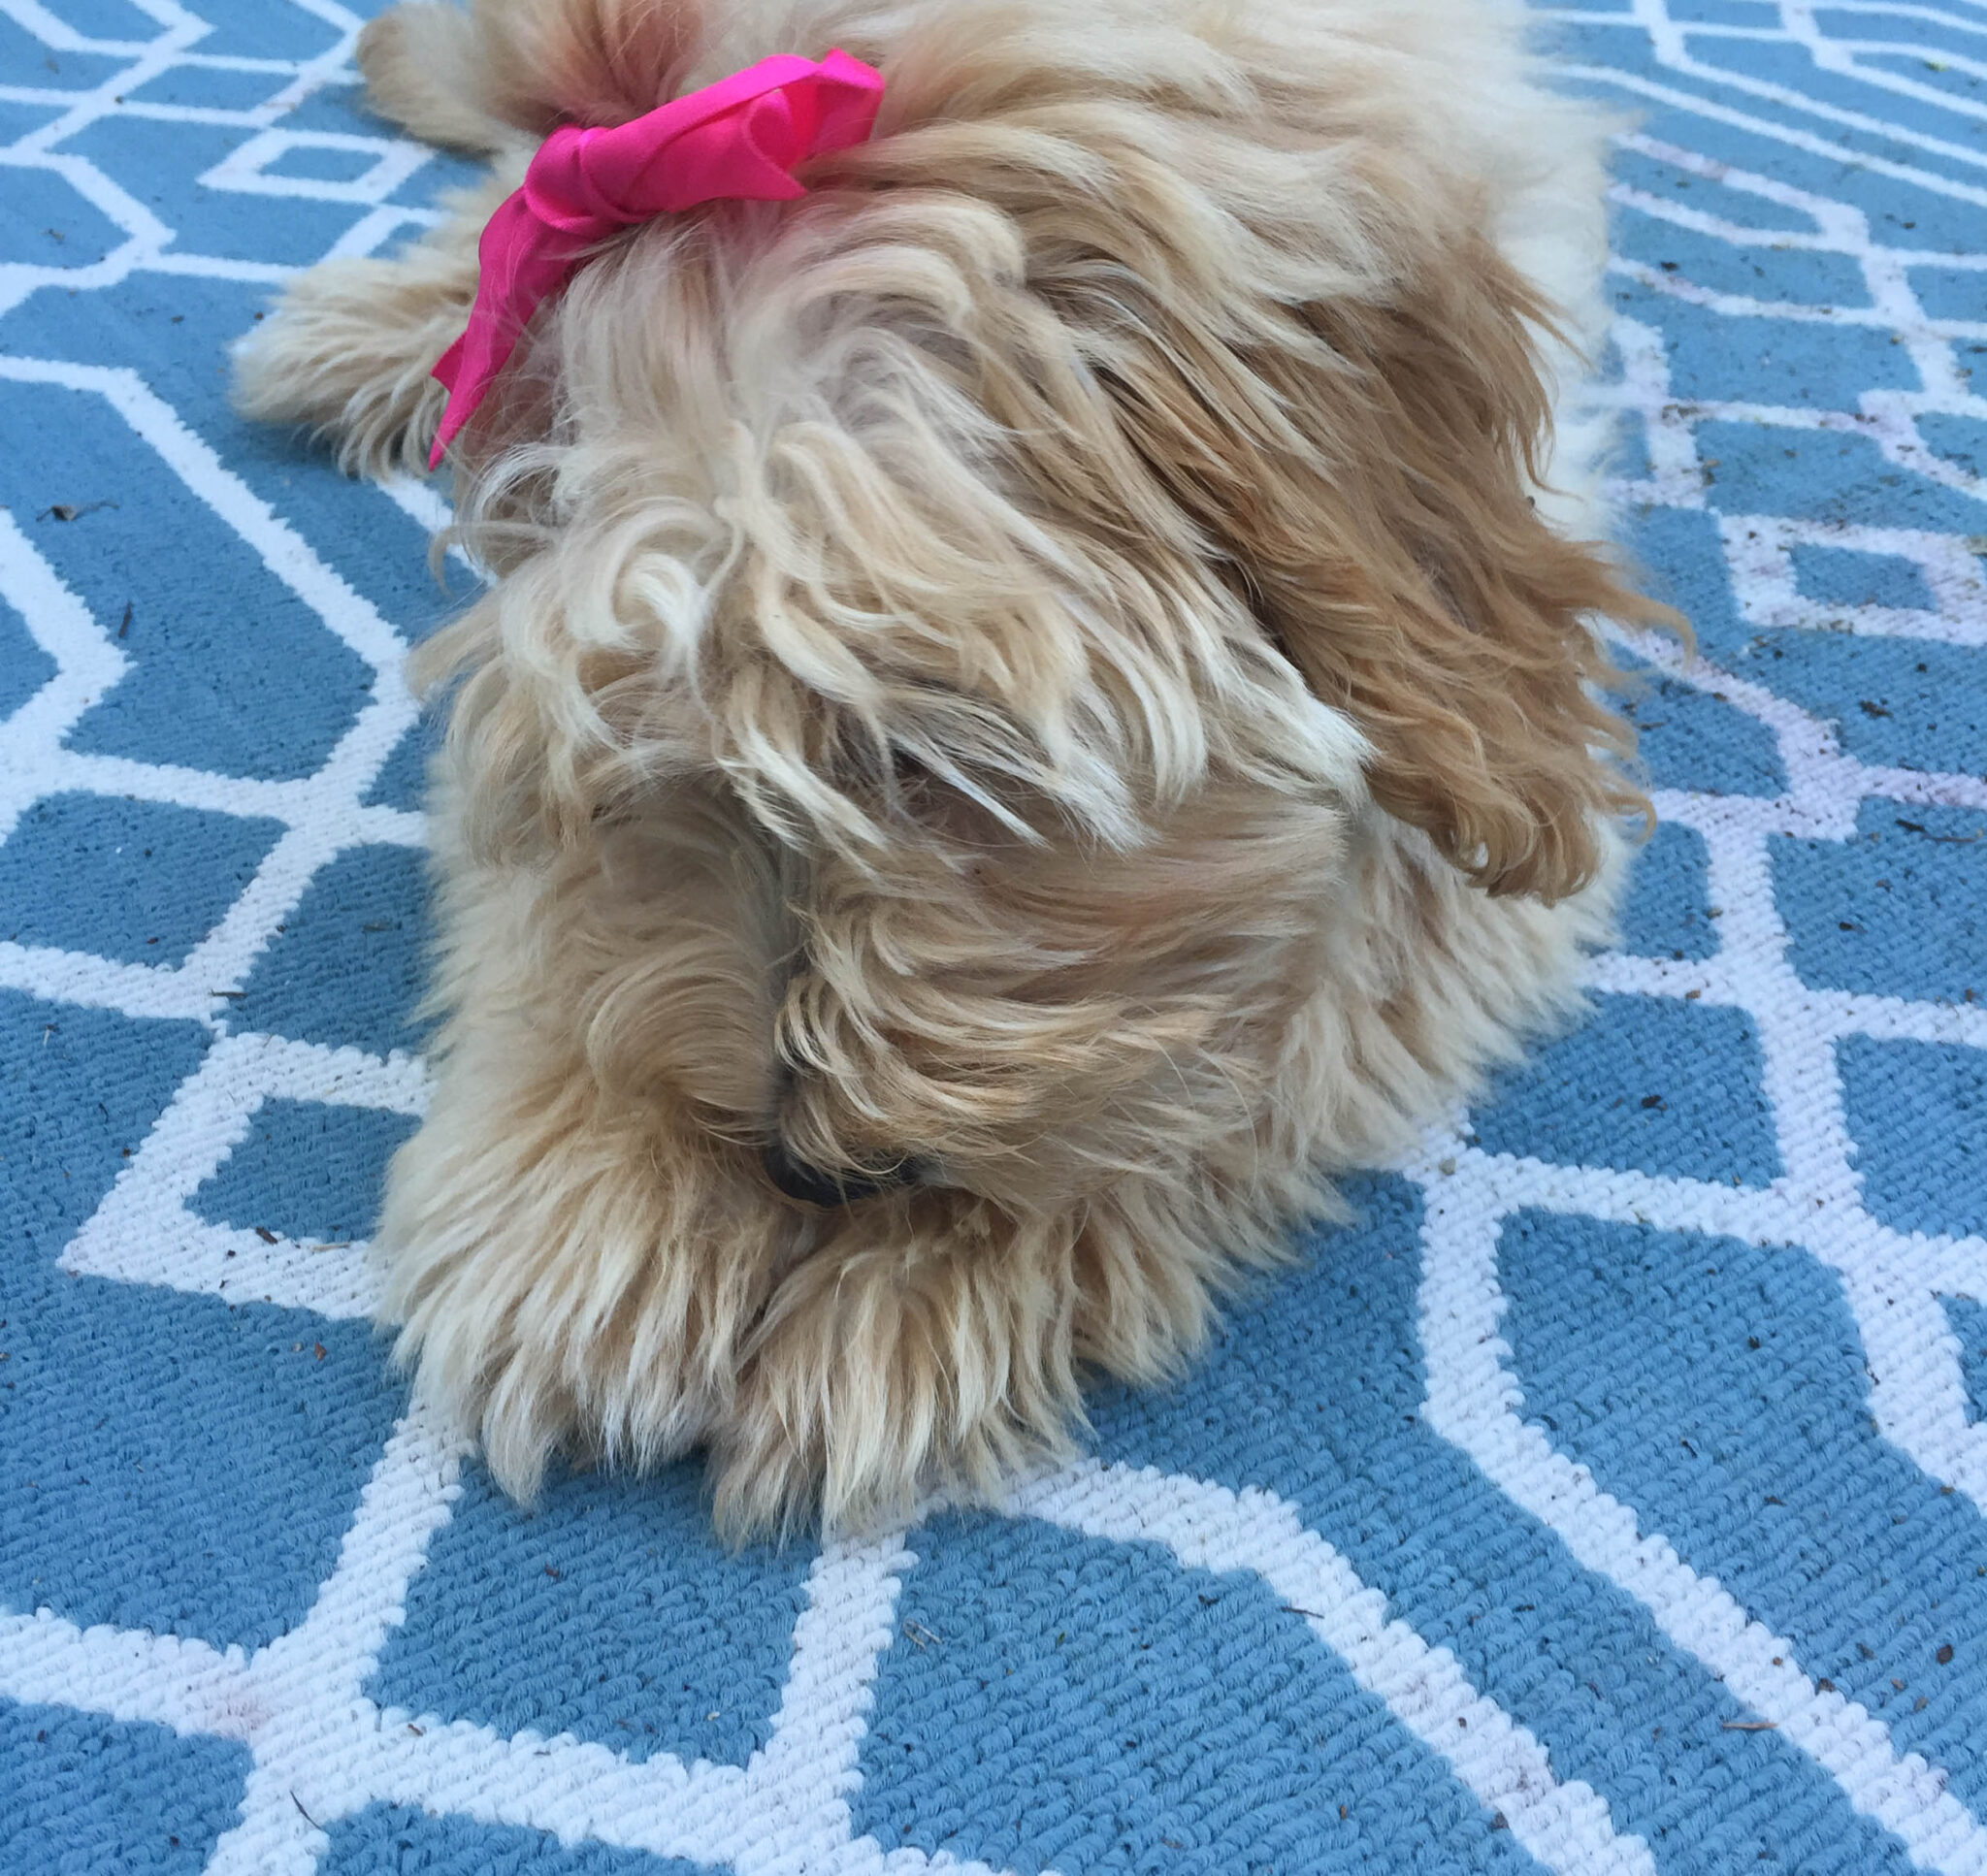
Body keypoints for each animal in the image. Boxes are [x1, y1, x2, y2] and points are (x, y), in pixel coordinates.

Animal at [228, 0, 1661, 1541]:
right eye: (646, 768)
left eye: (938, 756)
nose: (805, 1169)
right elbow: (548, 916)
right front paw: (594, 1209)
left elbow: (1287, 1013)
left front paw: (931, 1275)